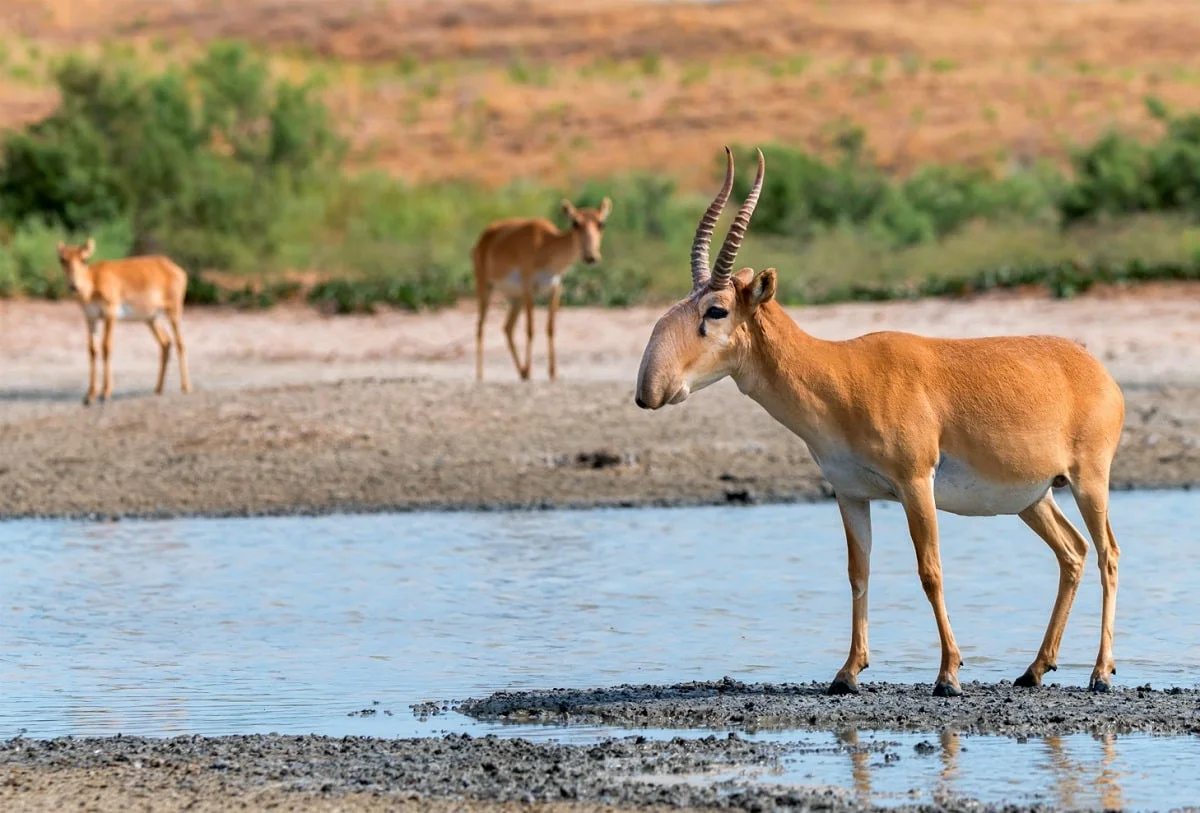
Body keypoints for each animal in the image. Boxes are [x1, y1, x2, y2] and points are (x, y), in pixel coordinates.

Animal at [56, 241, 192, 407]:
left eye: (84, 259)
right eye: (62, 259)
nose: (74, 286)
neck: (94, 281)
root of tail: (174, 268)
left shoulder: (110, 315)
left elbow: (106, 347)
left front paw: (105, 393)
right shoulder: (91, 318)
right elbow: (92, 350)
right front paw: (89, 396)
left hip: (173, 311)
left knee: (180, 343)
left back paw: (186, 387)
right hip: (151, 318)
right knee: (166, 343)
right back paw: (158, 389)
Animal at [472, 197, 614, 381]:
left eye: (601, 223)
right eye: (575, 223)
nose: (590, 256)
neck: (545, 246)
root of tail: (483, 239)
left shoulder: (554, 289)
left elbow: (550, 328)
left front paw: (553, 373)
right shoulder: (528, 289)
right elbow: (530, 329)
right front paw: (531, 370)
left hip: (516, 299)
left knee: (507, 328)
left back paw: (522, 372)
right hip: (485, 287)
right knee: (480, 327)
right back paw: (481, 375)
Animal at [638, 148, 1123, 700]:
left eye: (716, 310)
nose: (650, 390)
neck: (842, 374)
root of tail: (1096, 370)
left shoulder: (915, 484)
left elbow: (930, 570)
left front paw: (948, 675)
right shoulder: (851, 494)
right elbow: (858, 572)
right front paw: (847, 672)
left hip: (1088, 481)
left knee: (1107, 553)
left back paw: (1100, 672)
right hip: (1034, 498)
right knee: (1074, 552)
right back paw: (1034, 669)